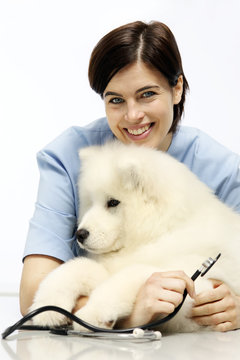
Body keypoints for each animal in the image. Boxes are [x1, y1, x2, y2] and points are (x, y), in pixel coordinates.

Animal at [30, 142, 240, 334]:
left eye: (113, 202)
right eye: (91, 202)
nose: (80, 234)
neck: (159, 232)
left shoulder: (198, 286)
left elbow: (133, 273)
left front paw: (94, 315)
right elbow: (76, 267)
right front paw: (47, 307)